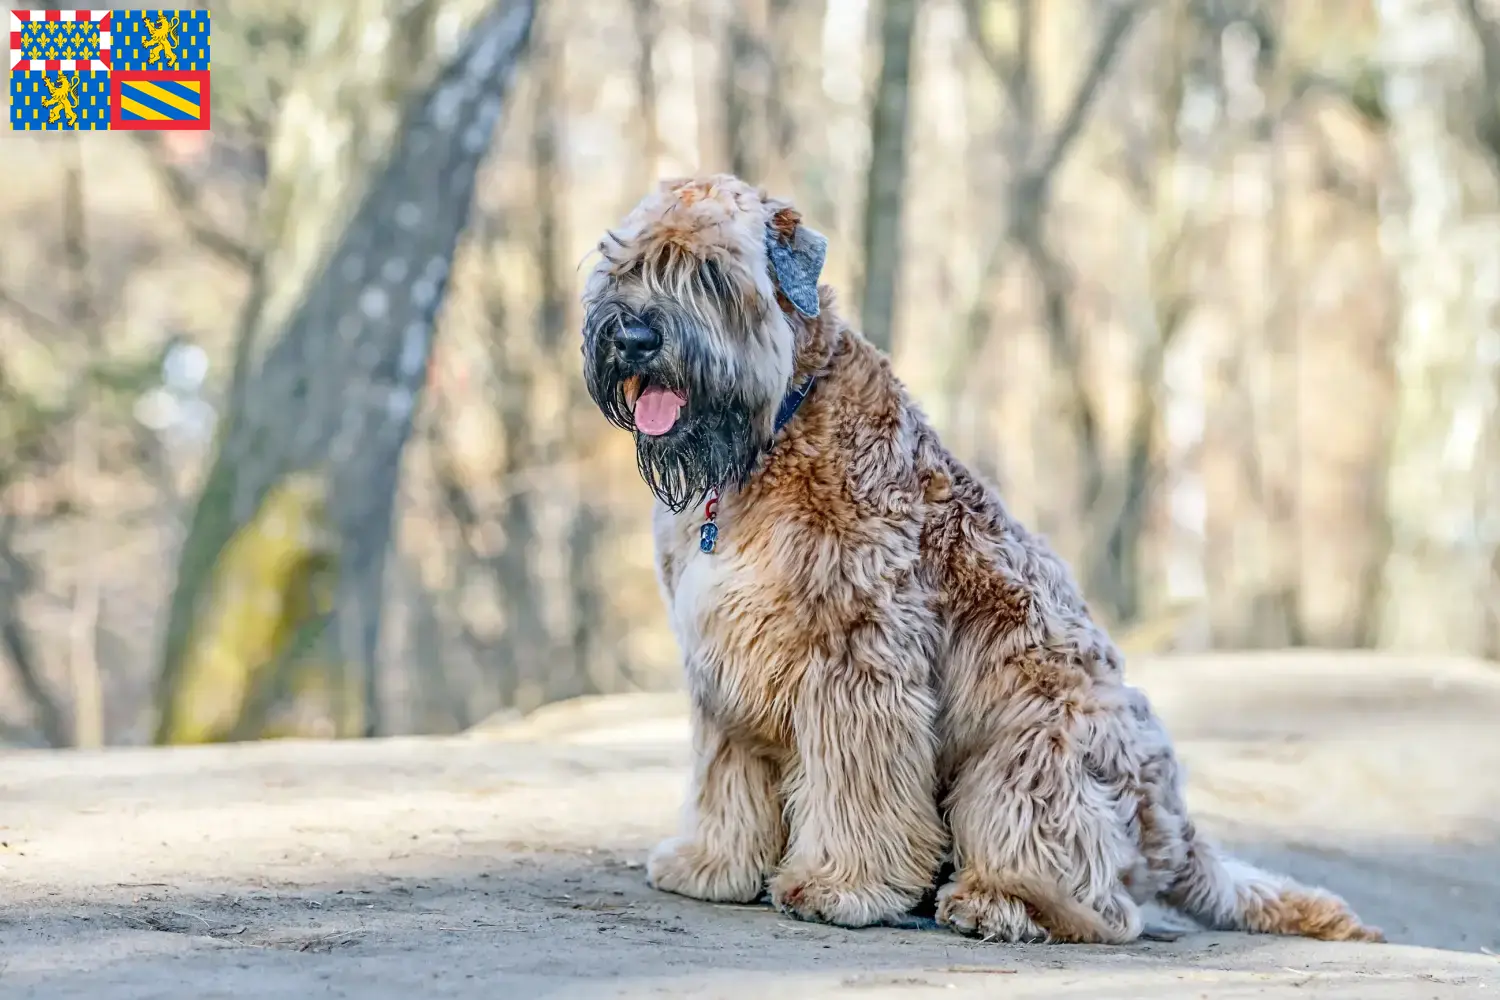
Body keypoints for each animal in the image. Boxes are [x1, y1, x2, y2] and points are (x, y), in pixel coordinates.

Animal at [576, 173, 1380, 947]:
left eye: (711, 275)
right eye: (627, 266)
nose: (634, 337)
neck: (771, 435)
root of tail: (1176, 832)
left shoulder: (856, 659)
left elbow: (856, 787)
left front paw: (842, 886)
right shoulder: (726, 662)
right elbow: (727, 778)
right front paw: (711, 864)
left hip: (1028, 760)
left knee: (1097, 898)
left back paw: (998, 904)